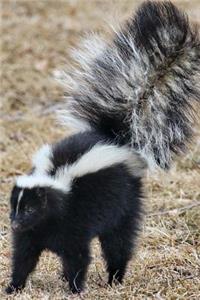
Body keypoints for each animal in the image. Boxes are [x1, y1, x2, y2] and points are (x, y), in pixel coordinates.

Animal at [6, 0, 200, 296]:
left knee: (118, 242)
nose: (14, 223)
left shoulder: (74, 221)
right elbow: (24, 257)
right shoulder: (32, 233)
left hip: (125, 204)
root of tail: (115, 137)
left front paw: (75, 288)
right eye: (14, 206)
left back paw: (115, 278)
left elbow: (77, 256)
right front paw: (14, 287)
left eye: (30, 209)